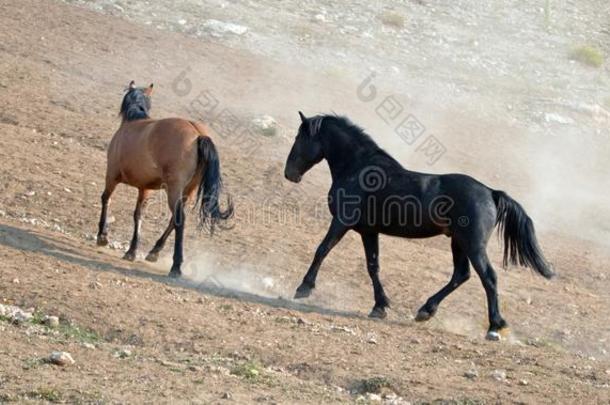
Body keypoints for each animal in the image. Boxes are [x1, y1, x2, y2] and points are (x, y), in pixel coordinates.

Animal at [96, 82, 232, 278]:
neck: (133, 121)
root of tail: (197, 133)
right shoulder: (145, 188)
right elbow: (138, 214)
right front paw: (131, 251)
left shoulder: (112, 176)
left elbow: (106, 199)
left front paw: (102, 236)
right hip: (187, 191)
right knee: (174, 220)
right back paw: (154, 252)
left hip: (173, 189)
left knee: (179, 219)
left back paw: (176, 266)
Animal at [282, 110, 552, 338]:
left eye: (299, 137)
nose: (289, 174)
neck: (358, 169)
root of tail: (491, 192)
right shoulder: (368, 231)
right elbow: (373, 266)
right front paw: (380, 307)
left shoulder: (341, 222)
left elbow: (322, 250)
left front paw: (303, 288)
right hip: (458, 242)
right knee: (461, 274)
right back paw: (425, 310)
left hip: (472, 244)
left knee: (488, 277)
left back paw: (494, 327)